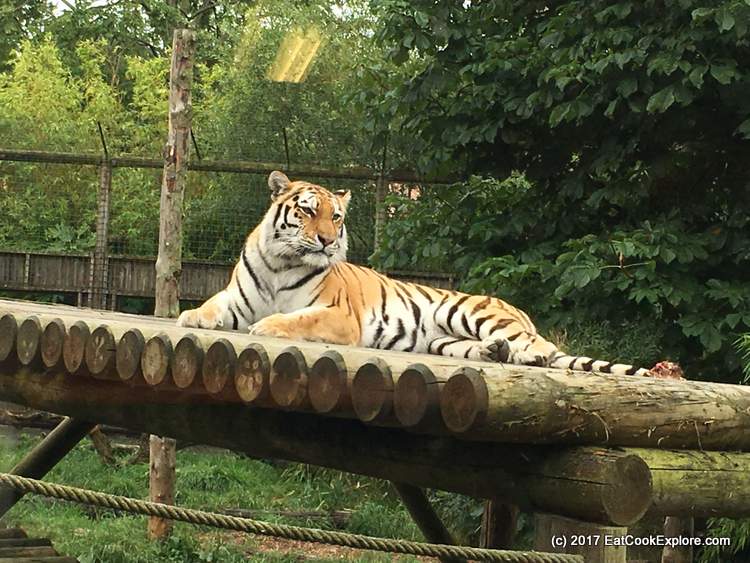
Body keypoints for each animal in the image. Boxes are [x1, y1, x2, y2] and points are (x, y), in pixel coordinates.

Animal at [177, 171, 651, 376]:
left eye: (336, 216)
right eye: (308, 211)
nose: (328, 241)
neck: (282, 262)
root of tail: (516, 309)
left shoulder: (338, 315)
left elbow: (297, 319)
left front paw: (268, 326)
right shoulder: (237, 298)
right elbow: (212, 306)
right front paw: (190, 316)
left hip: (468, 313)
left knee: (544, 348)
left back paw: (527, 355)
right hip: (443, 339)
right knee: (495, 348)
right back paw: (496, 353)